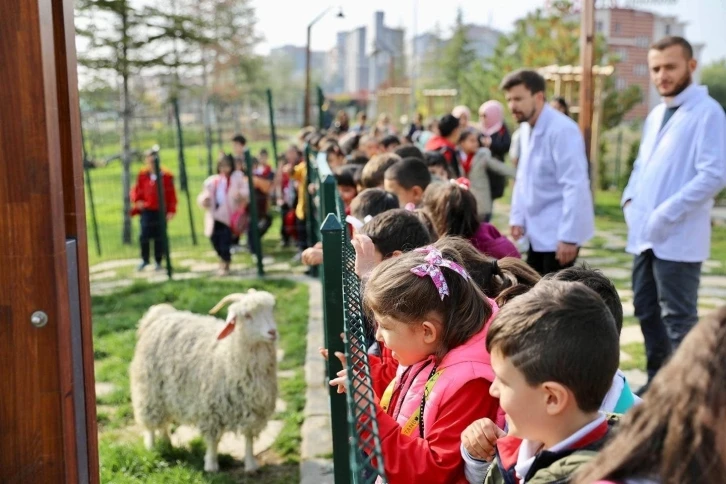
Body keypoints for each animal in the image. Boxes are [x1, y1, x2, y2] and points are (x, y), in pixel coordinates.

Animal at [129, 290, 280, 470]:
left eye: (271, 310)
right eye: (247, 315)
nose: (272, 332)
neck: (227, 355)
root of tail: (159, 315)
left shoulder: (253, 409)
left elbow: (249, 438)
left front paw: (250, 464)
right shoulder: (210, 408)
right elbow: (213, 440)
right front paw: (211, 465)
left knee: (164, 422)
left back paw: (167, 443)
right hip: (149, 388)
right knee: (151, 421)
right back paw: (152, 447)